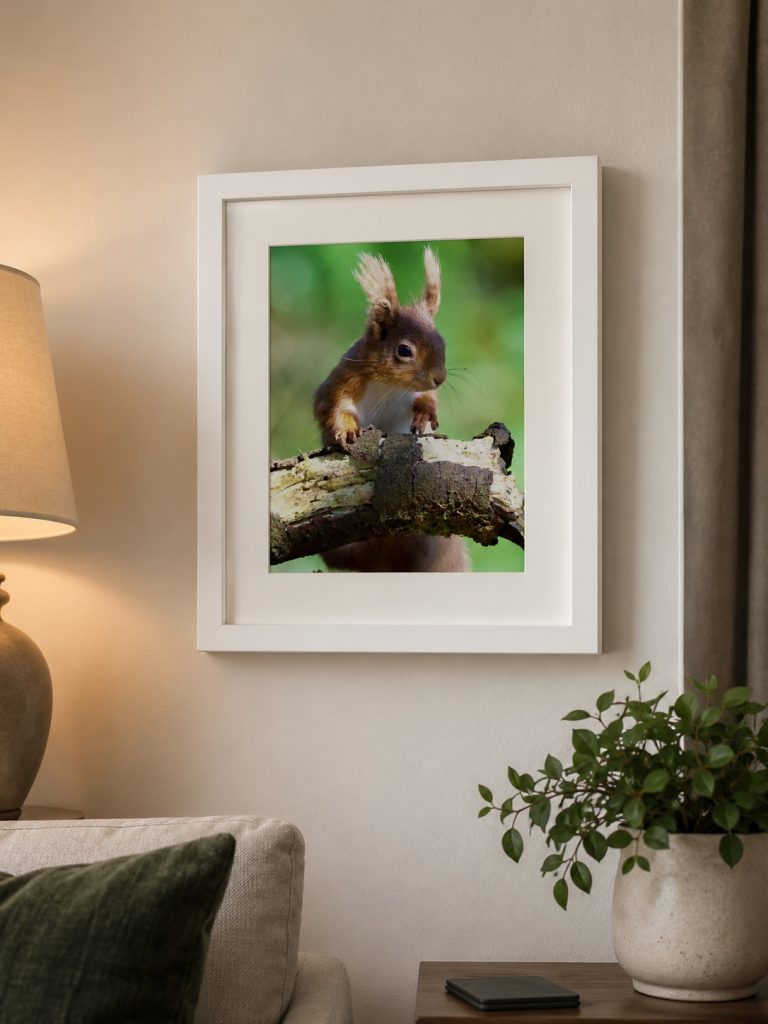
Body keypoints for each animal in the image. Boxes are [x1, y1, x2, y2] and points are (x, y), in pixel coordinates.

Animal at [313, 247, 469, 572]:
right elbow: (333, 411)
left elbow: (427, 400)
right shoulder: (340, 384)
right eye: (404, 350)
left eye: (442, 342)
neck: (390, 386)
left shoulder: (418, 392)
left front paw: (424, 415)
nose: (440, 377)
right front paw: (347, 430)